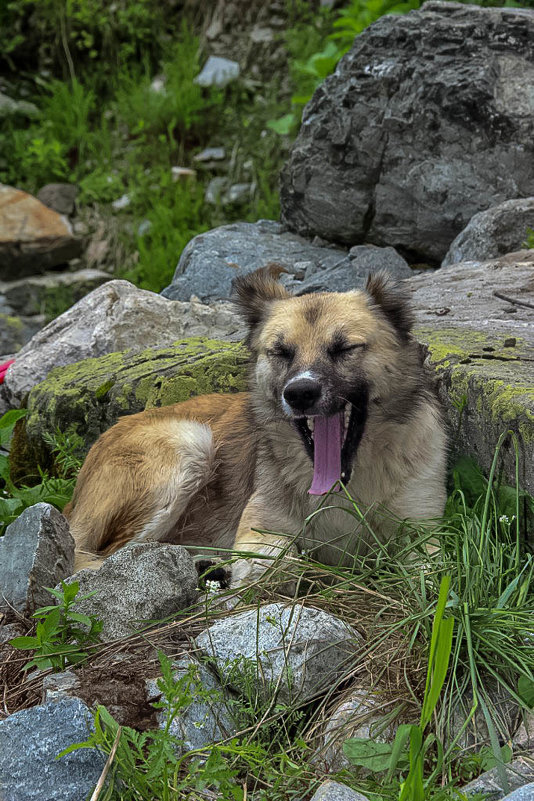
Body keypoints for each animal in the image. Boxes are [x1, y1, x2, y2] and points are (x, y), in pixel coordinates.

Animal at [68, 266, 452, 584]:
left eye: (344, 348)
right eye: (281, 351)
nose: (299, 393)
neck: (346, 487)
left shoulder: (423, 534)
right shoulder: (260, 529)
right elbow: (281, 561)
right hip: (190, 442)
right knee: (101, 559)